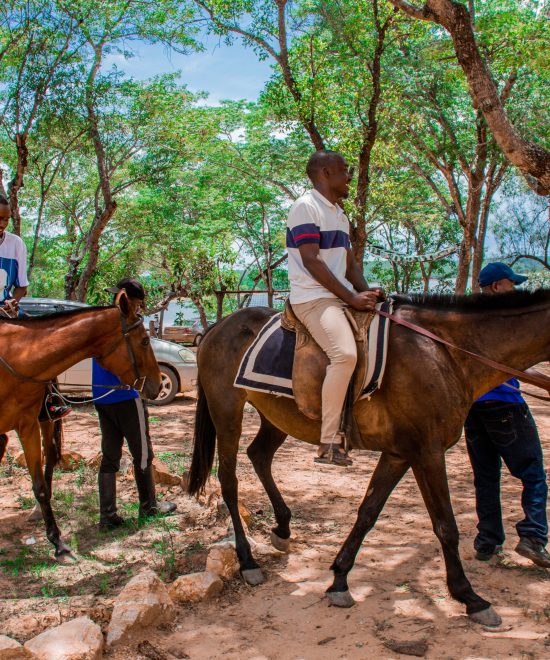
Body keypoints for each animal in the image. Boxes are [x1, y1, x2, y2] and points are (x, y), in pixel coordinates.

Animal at [0, 292, 161, 559]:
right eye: (145, 341)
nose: (158, 384)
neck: (15, 356)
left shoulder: (27, 425)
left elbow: (39, 486)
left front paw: (58, 543)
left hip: (44, 420)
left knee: (50, 458)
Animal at [188, 289, 550, 628]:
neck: (446, 352)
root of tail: (218, 326)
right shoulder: (427, 453)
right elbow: (445, 525)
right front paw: (470, 597)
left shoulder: (399, 454)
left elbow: (368, 512)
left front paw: (339, 579)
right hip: (227, 413)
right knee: (229, 480)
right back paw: (248, 561)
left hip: (277, 416)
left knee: (259, 455)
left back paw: (283, 526)